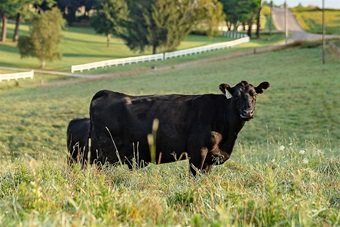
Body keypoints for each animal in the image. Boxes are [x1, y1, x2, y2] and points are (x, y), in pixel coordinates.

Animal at [89, 81, 270, 176]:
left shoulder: (211, 156)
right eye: (236, 96)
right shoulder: (198, 151)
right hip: (108, 153)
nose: (247, 112)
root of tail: (107, 93)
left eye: (254, 95)